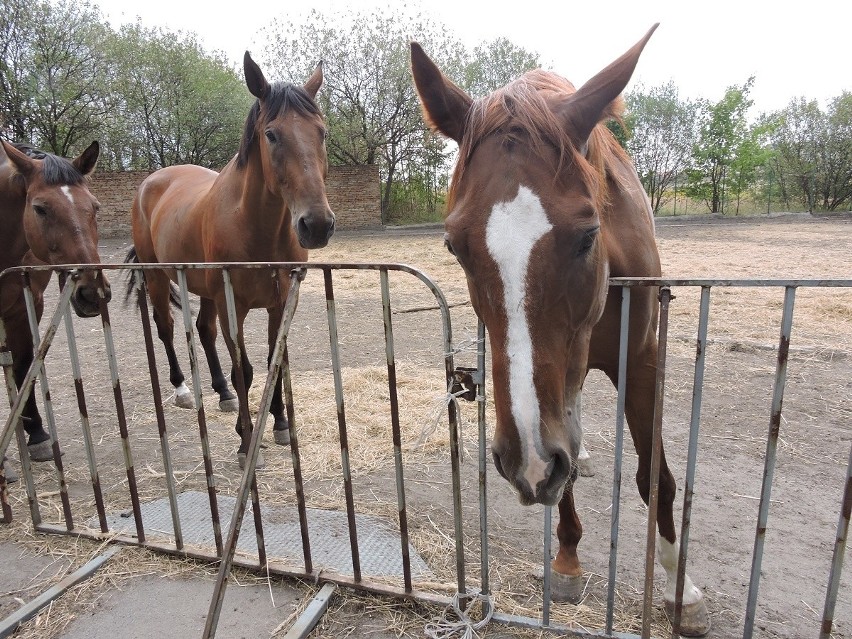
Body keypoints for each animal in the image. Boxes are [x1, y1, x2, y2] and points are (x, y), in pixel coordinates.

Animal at [0, 141, 110, 470]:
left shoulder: (27, 307)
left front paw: (37, 434)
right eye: (40, 208)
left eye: (95, 207)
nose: (91, 292)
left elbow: (24, 367)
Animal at [130, 51, 336, 470]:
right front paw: (246, 442)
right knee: (166, 328)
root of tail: (152, 181)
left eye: (321, 132)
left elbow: (275, 360)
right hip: (159, 277)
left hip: (205, 289)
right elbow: (245, 368)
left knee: (203, 330)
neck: (257, 229)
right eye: (271, 134)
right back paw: (183, 389)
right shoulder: (232, 306)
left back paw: (222, 393)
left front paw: (280, 423)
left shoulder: (280, 302)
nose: (317, 225)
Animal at [412, 23, 712, 636]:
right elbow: (561, 466)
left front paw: (683, 591)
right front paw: (568, 559)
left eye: (587, 234)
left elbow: (656, 478)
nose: (521, 462)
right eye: (455, 246)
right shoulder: (548, 400)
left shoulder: (641, 360)